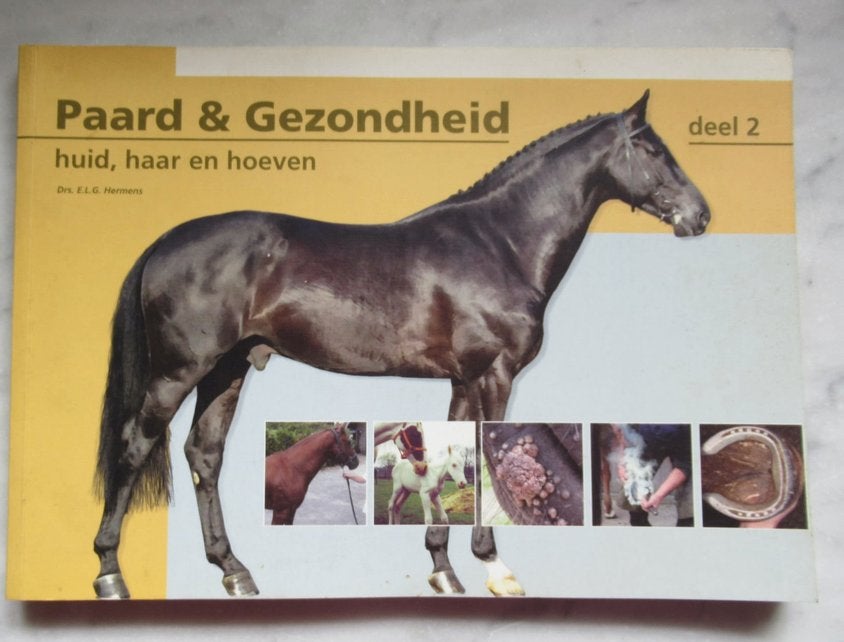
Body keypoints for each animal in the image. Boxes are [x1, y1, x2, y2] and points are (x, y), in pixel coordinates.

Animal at [92, 90, 709, 599]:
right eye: (651, 149)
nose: (700, 215)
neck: (498, 244)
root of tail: (164, 243)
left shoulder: (462, 381)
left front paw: (443, 567)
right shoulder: (495, 375)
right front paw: (494, 567)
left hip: (227, 369)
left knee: (205, 453)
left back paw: (234, 570)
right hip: (178, 372)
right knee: (133, 445)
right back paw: (110, 573)